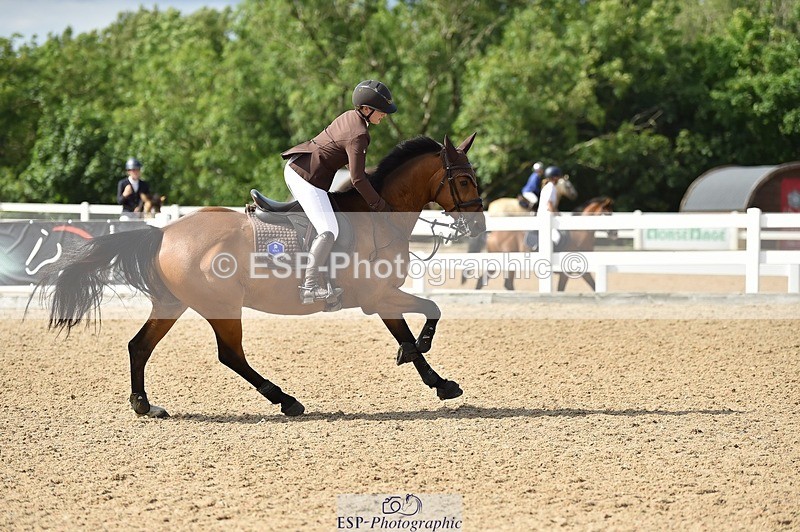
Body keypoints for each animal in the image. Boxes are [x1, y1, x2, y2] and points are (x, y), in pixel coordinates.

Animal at [34, 135, 485, 418]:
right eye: (464, 180)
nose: (479, 228)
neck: (381, 216)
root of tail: (164, 232)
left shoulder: (382, 297)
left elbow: (413, 327)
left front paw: (437, 380)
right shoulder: (378, 296)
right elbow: (431, 312)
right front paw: (424, 359)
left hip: (172, 303)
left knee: (139, 346)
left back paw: (145, 405)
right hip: (221, 307)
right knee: (230, 355)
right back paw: (286, 400)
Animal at [468, 196, 614, 291]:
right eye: (607, 214)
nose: (614, 233)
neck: (579, 235)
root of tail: (492, 234)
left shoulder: (582, 270)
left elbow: (593, 285)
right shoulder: (565, 273)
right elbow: (561, 289)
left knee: (498, 283)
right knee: (495, 282)